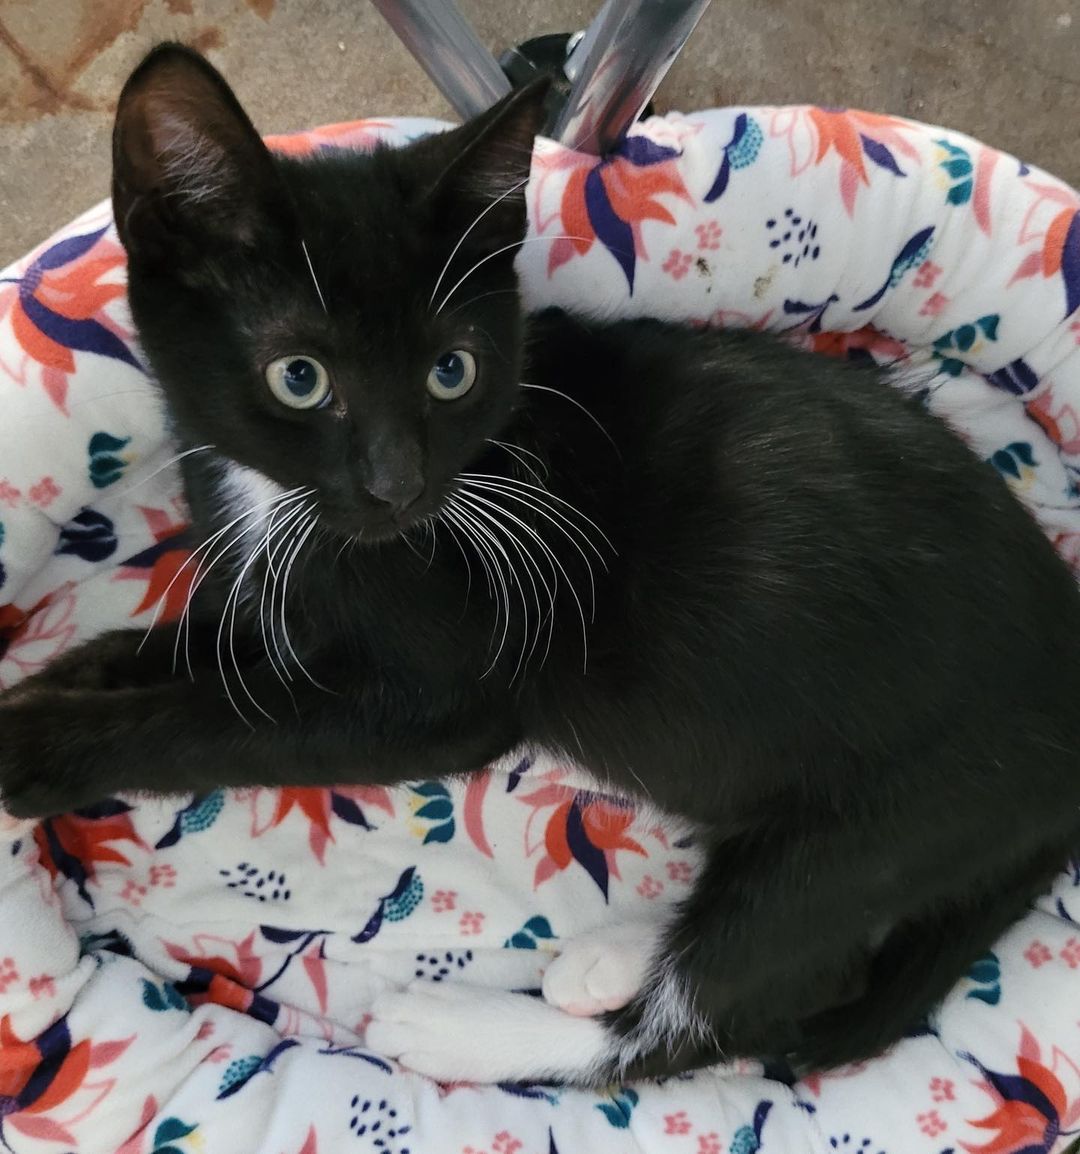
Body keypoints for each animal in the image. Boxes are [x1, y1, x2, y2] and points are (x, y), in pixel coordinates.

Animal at [2, 45, 1080, 1084]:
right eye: (298, 378)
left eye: (453, 371)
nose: (399, 486)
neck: (286, 505)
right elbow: (196, 649)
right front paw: (62, 679)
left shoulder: (455, 687)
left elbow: (234, 719)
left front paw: (42, 746)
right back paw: (609, 956)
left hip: (896, 812)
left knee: (734, 1004)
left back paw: (460, 1029)